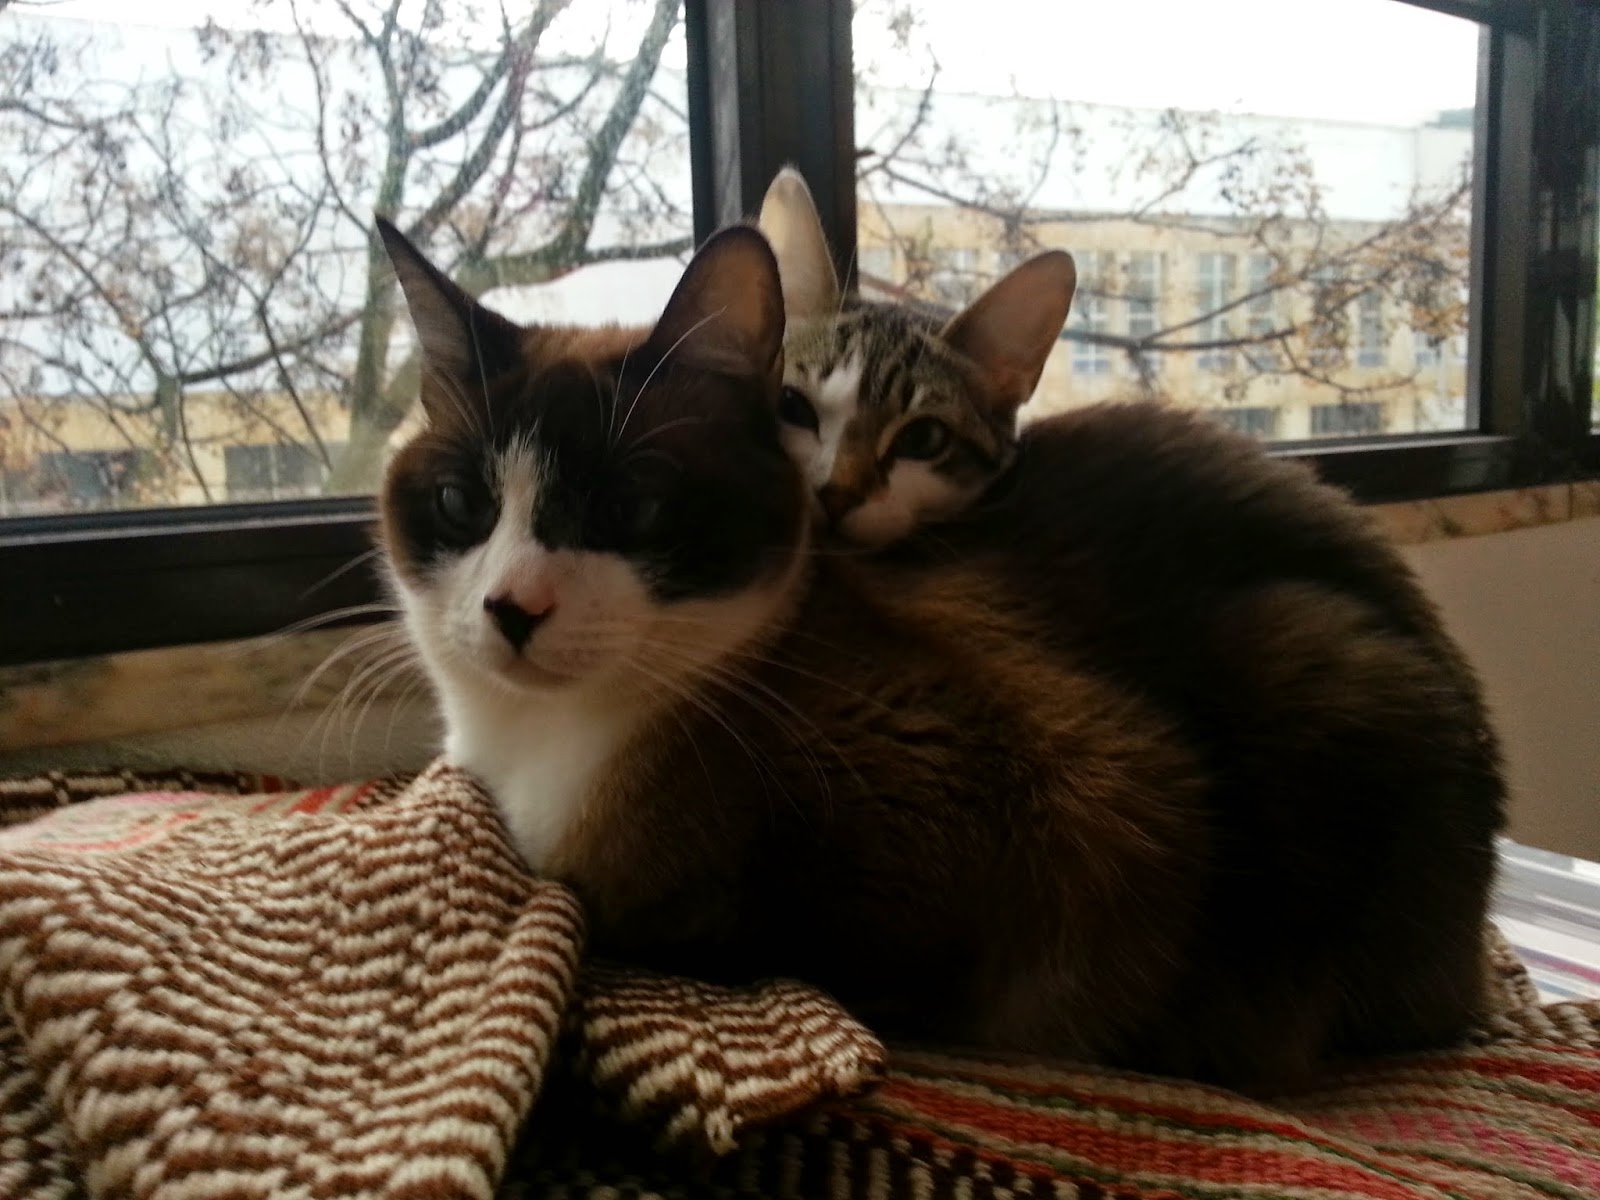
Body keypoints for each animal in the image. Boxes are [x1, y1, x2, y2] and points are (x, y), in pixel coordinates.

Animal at [376, 213, 1505, 1091]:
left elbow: (703, 926)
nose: (512, 608)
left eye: (631, 510)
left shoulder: (1087, 808)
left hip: (1310, 669)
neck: (542, 745)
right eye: (463, 504)